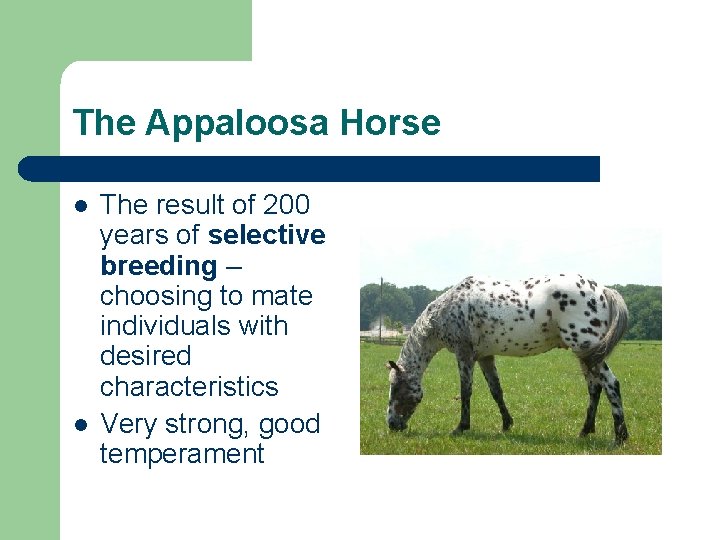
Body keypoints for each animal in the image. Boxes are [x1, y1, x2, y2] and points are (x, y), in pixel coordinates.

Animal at [386, 274, 630, 445]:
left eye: (396, 388)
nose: (392, 424)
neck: (447, 310)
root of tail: (603, 290)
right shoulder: (484, 356)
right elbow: (496, 390)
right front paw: (506, 424)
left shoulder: (464, 354)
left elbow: (466, 392)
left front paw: (461, 427)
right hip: (585, 354)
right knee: (595, 388)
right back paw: (585, 431)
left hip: (585, 347)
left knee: (611, 384)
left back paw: (620, 437)